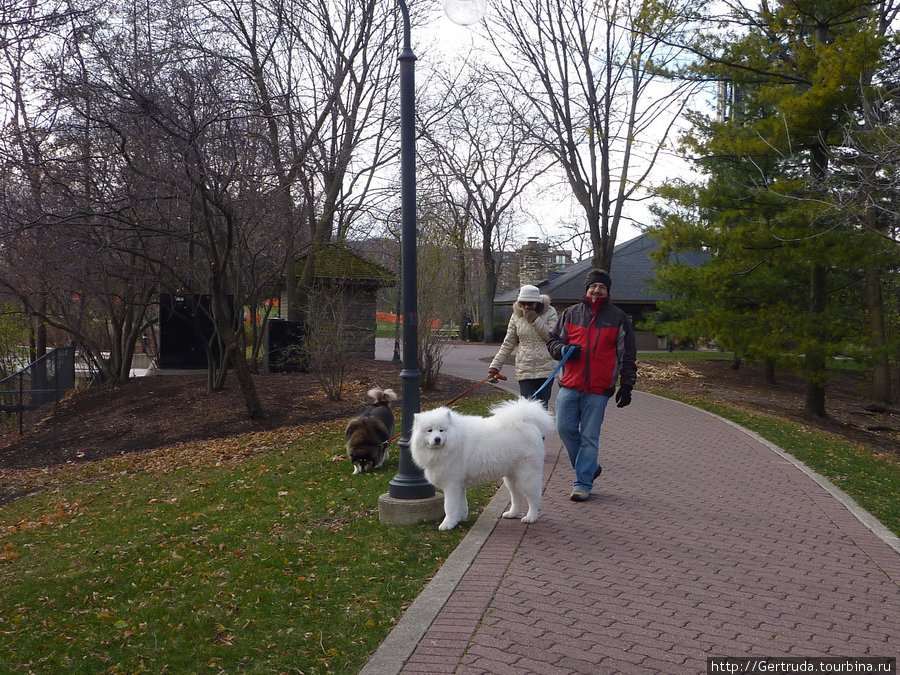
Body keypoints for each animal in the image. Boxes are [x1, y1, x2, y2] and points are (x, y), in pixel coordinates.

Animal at [412, 396, 552, 532]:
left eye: (441, 430)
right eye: (429, 430)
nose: (437, 439)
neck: (453, 442)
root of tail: (528, 423)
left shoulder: (452, 484)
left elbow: (449, 507)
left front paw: (448, 524)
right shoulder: (459, 485)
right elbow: (461, 504)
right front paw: (460, 518)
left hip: (527, 476)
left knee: (534, 498)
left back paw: (530, 517)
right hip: (512, 478)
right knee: (516, 497)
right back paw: (512, 514)